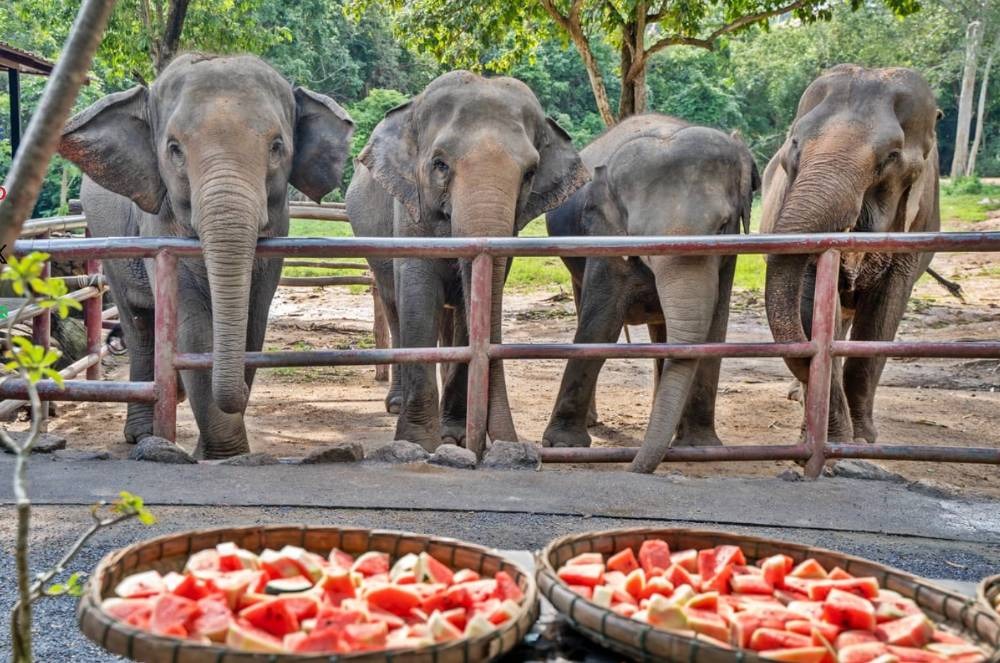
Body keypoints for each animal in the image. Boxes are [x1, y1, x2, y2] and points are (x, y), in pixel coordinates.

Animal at [58, 53, 354, 459]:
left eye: (277, 146)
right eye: (175, 149)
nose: (241, 391)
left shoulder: (278, 231)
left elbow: (252, 322)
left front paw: (222, 451)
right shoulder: (160, 222)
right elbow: (193, 329)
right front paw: (224, 456)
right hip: (107, 237)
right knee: (139, 323)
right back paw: (142, 433)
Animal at [346, 70, 588, 453]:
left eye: (530, 173)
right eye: (440, 164)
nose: (520, 447)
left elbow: (468, 302)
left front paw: (453, 437)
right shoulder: (410, 209)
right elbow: (418, 294)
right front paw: (417, 443)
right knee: (393, 305)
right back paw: (395, 402)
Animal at [542, 114, 760, 473]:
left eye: (722, 225)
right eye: (639, 234)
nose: (631, 469)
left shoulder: (729, 258)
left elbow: (714, 329)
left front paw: (699, 446)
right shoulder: (604, 234)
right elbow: (600, 325)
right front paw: (561, 445)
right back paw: (593, 421)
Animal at [761, 64, 940, 445]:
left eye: (891, 156)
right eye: (794, 142)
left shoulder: (917, 221)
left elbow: (883, 316)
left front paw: (862, 439)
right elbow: (811, 306)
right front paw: (835, 438)